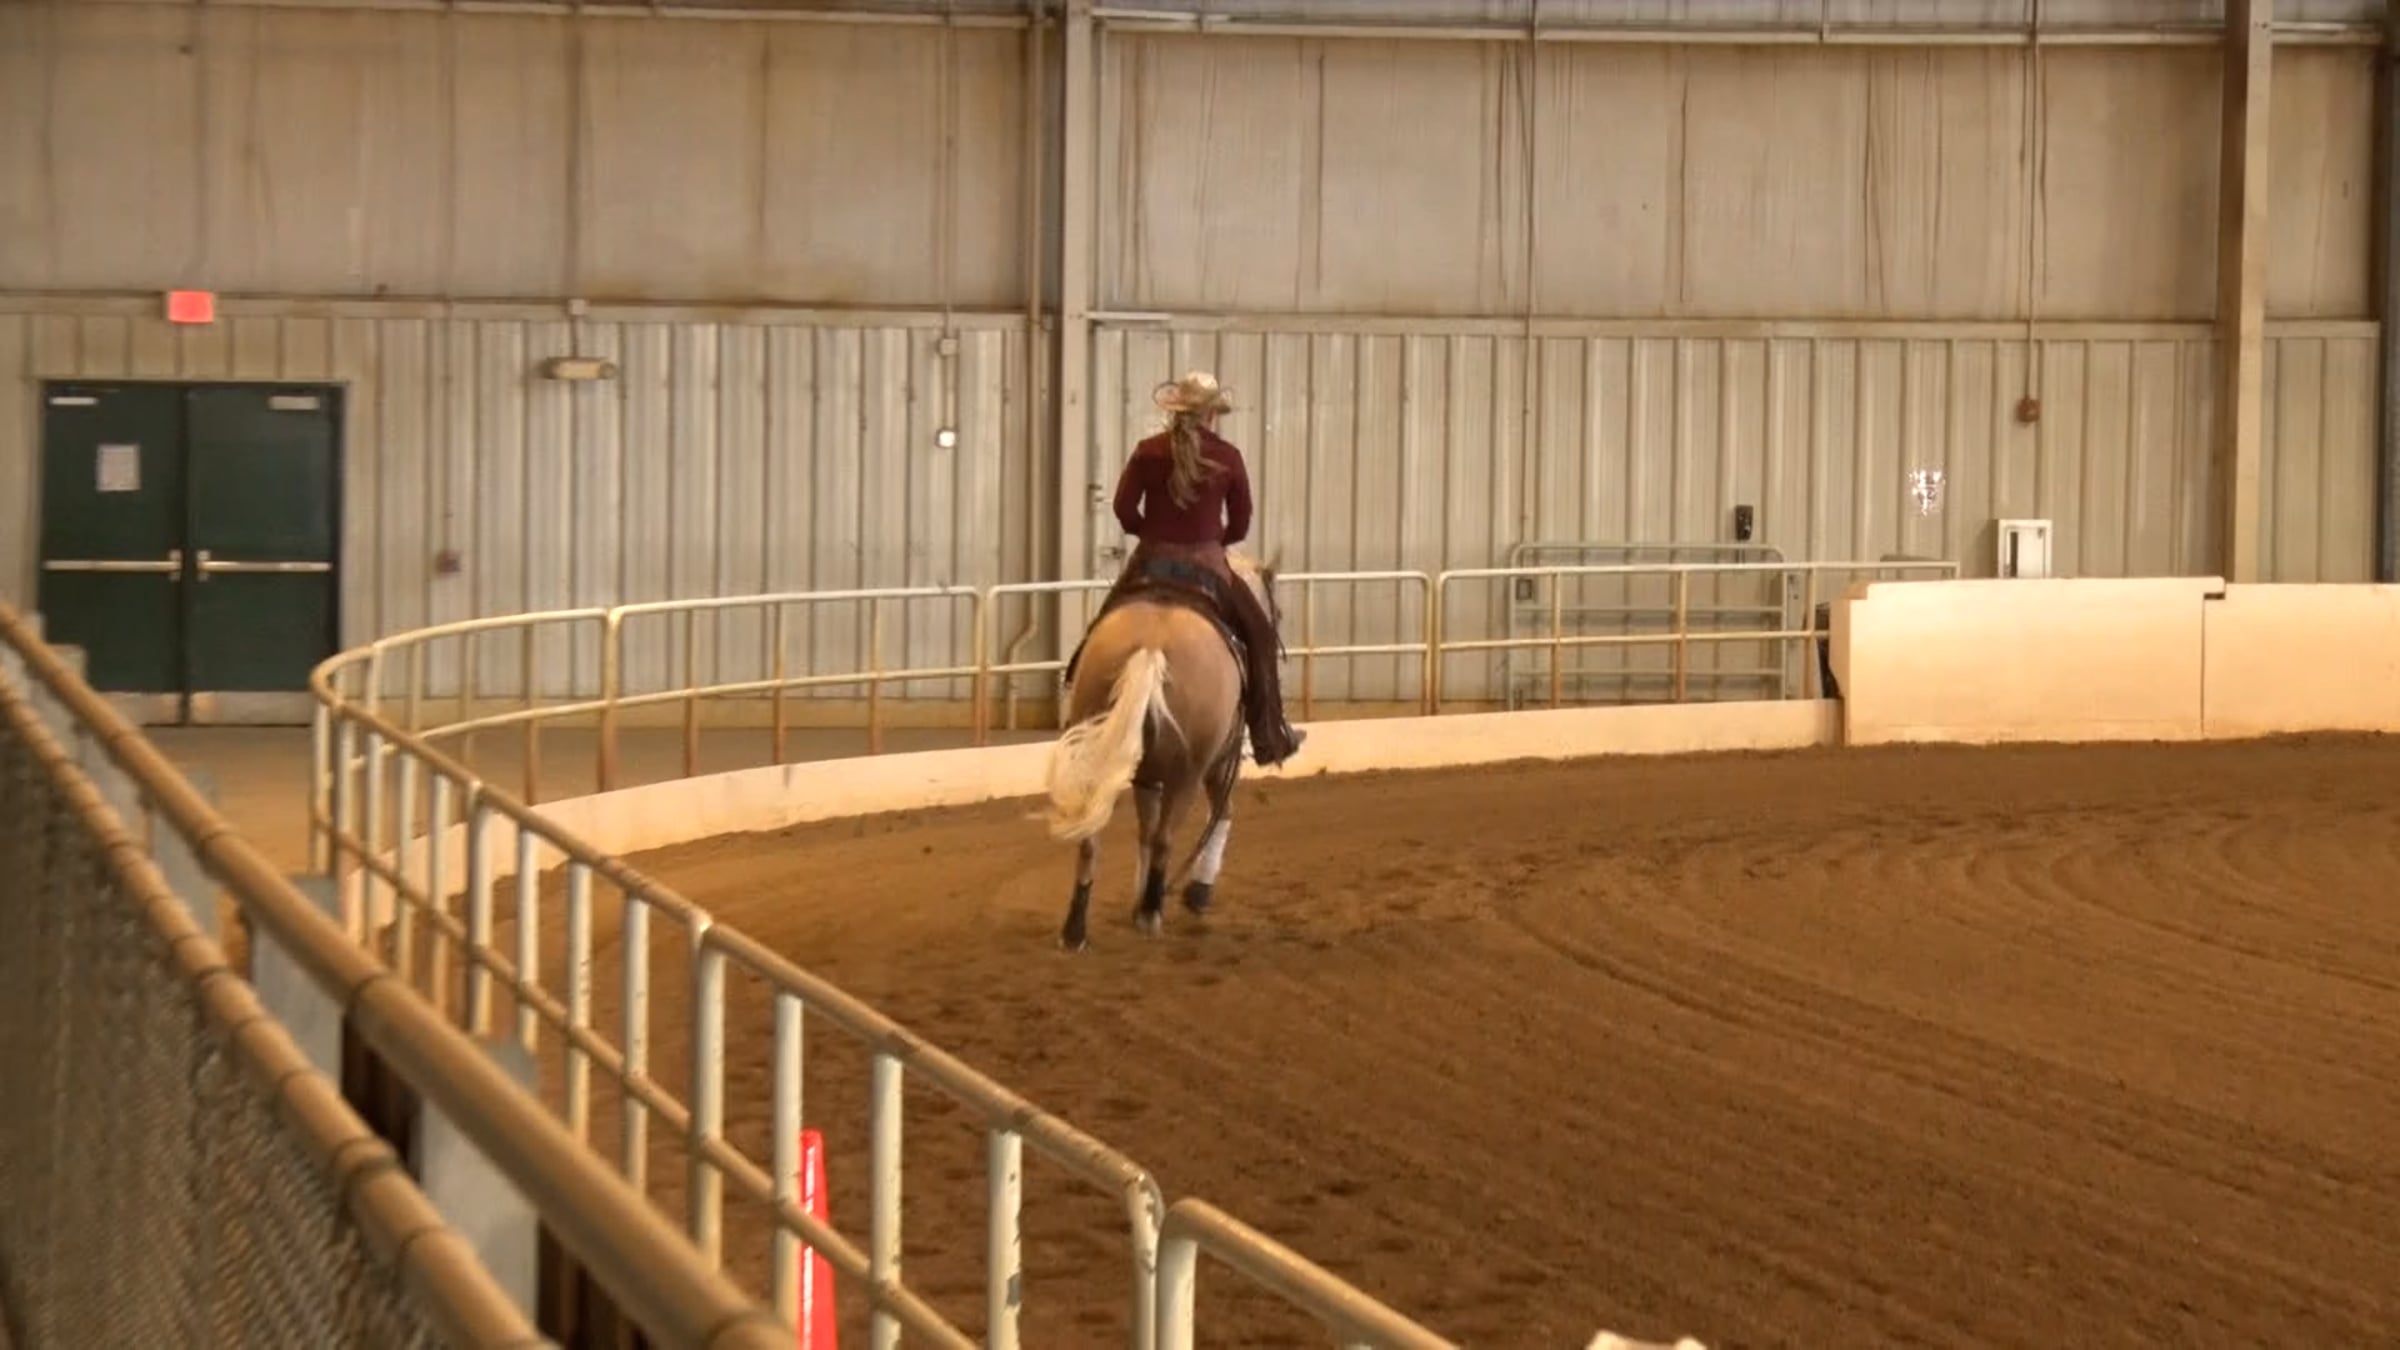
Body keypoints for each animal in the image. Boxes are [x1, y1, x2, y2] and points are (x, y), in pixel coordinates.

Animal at [1041, 552, 1281, 951]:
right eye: (1277, 614)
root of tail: (1153, 644)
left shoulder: (1146, 777)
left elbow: (1145, 831)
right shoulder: (1222, 759)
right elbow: (1220, 813)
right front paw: (1196, 893)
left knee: (1093, 841)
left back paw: (1075, 930)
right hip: (1190, 772)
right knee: (1168, 836)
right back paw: (1152, 913)